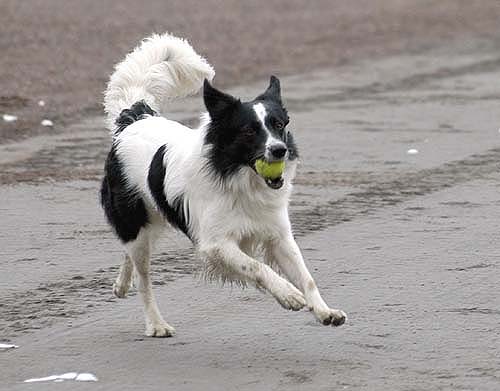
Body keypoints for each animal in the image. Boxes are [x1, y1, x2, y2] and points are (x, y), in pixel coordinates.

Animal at [99, 33, 346, 336]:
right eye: (249, 130)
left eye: (279, 125)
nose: (280, 150)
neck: (239, 177)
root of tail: (134, 119)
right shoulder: (215, 244)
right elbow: (257, 267)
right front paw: (288, 294)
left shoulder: (278, 235)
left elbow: (306, 277)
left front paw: (324, 311)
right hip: (135, 219)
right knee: (143, 276)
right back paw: (156, 324)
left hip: (150, 219)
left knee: (130, 253)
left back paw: (121, 285)